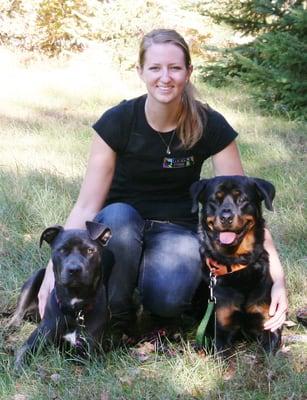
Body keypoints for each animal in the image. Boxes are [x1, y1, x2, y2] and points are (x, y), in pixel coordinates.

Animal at [8, 222, 112, 368]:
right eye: (62, 250)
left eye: (90, 251)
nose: (74, 269)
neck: (74, 309)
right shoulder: (37, 338)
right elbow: (21, 355)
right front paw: (19, 369)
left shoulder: (89, 351)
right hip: (34, 279)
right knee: (18, 313)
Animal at [191, 175, 282, 354]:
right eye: (214, 200)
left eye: (242, 199)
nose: (226, 217)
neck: (235, 263)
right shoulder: (221, 331)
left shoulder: (269, 325)